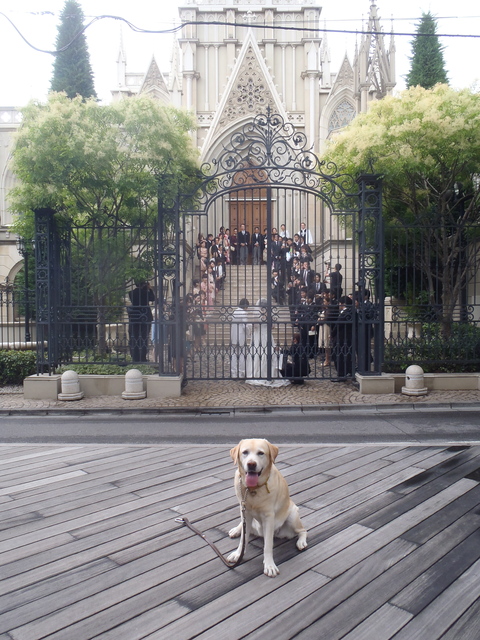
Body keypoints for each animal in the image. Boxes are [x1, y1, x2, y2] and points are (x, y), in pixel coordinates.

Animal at [228, 438, 308, 576]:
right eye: (245, 452)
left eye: (261, 453)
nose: (251, 464)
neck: (253, 489)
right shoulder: (245, 511)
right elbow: (243, 539)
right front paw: (238, 554)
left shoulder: (269, 517)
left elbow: (268, 545)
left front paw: (269, 565)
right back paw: (237, 530)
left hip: (292, 515)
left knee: (303, 531)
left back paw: (301, 542)